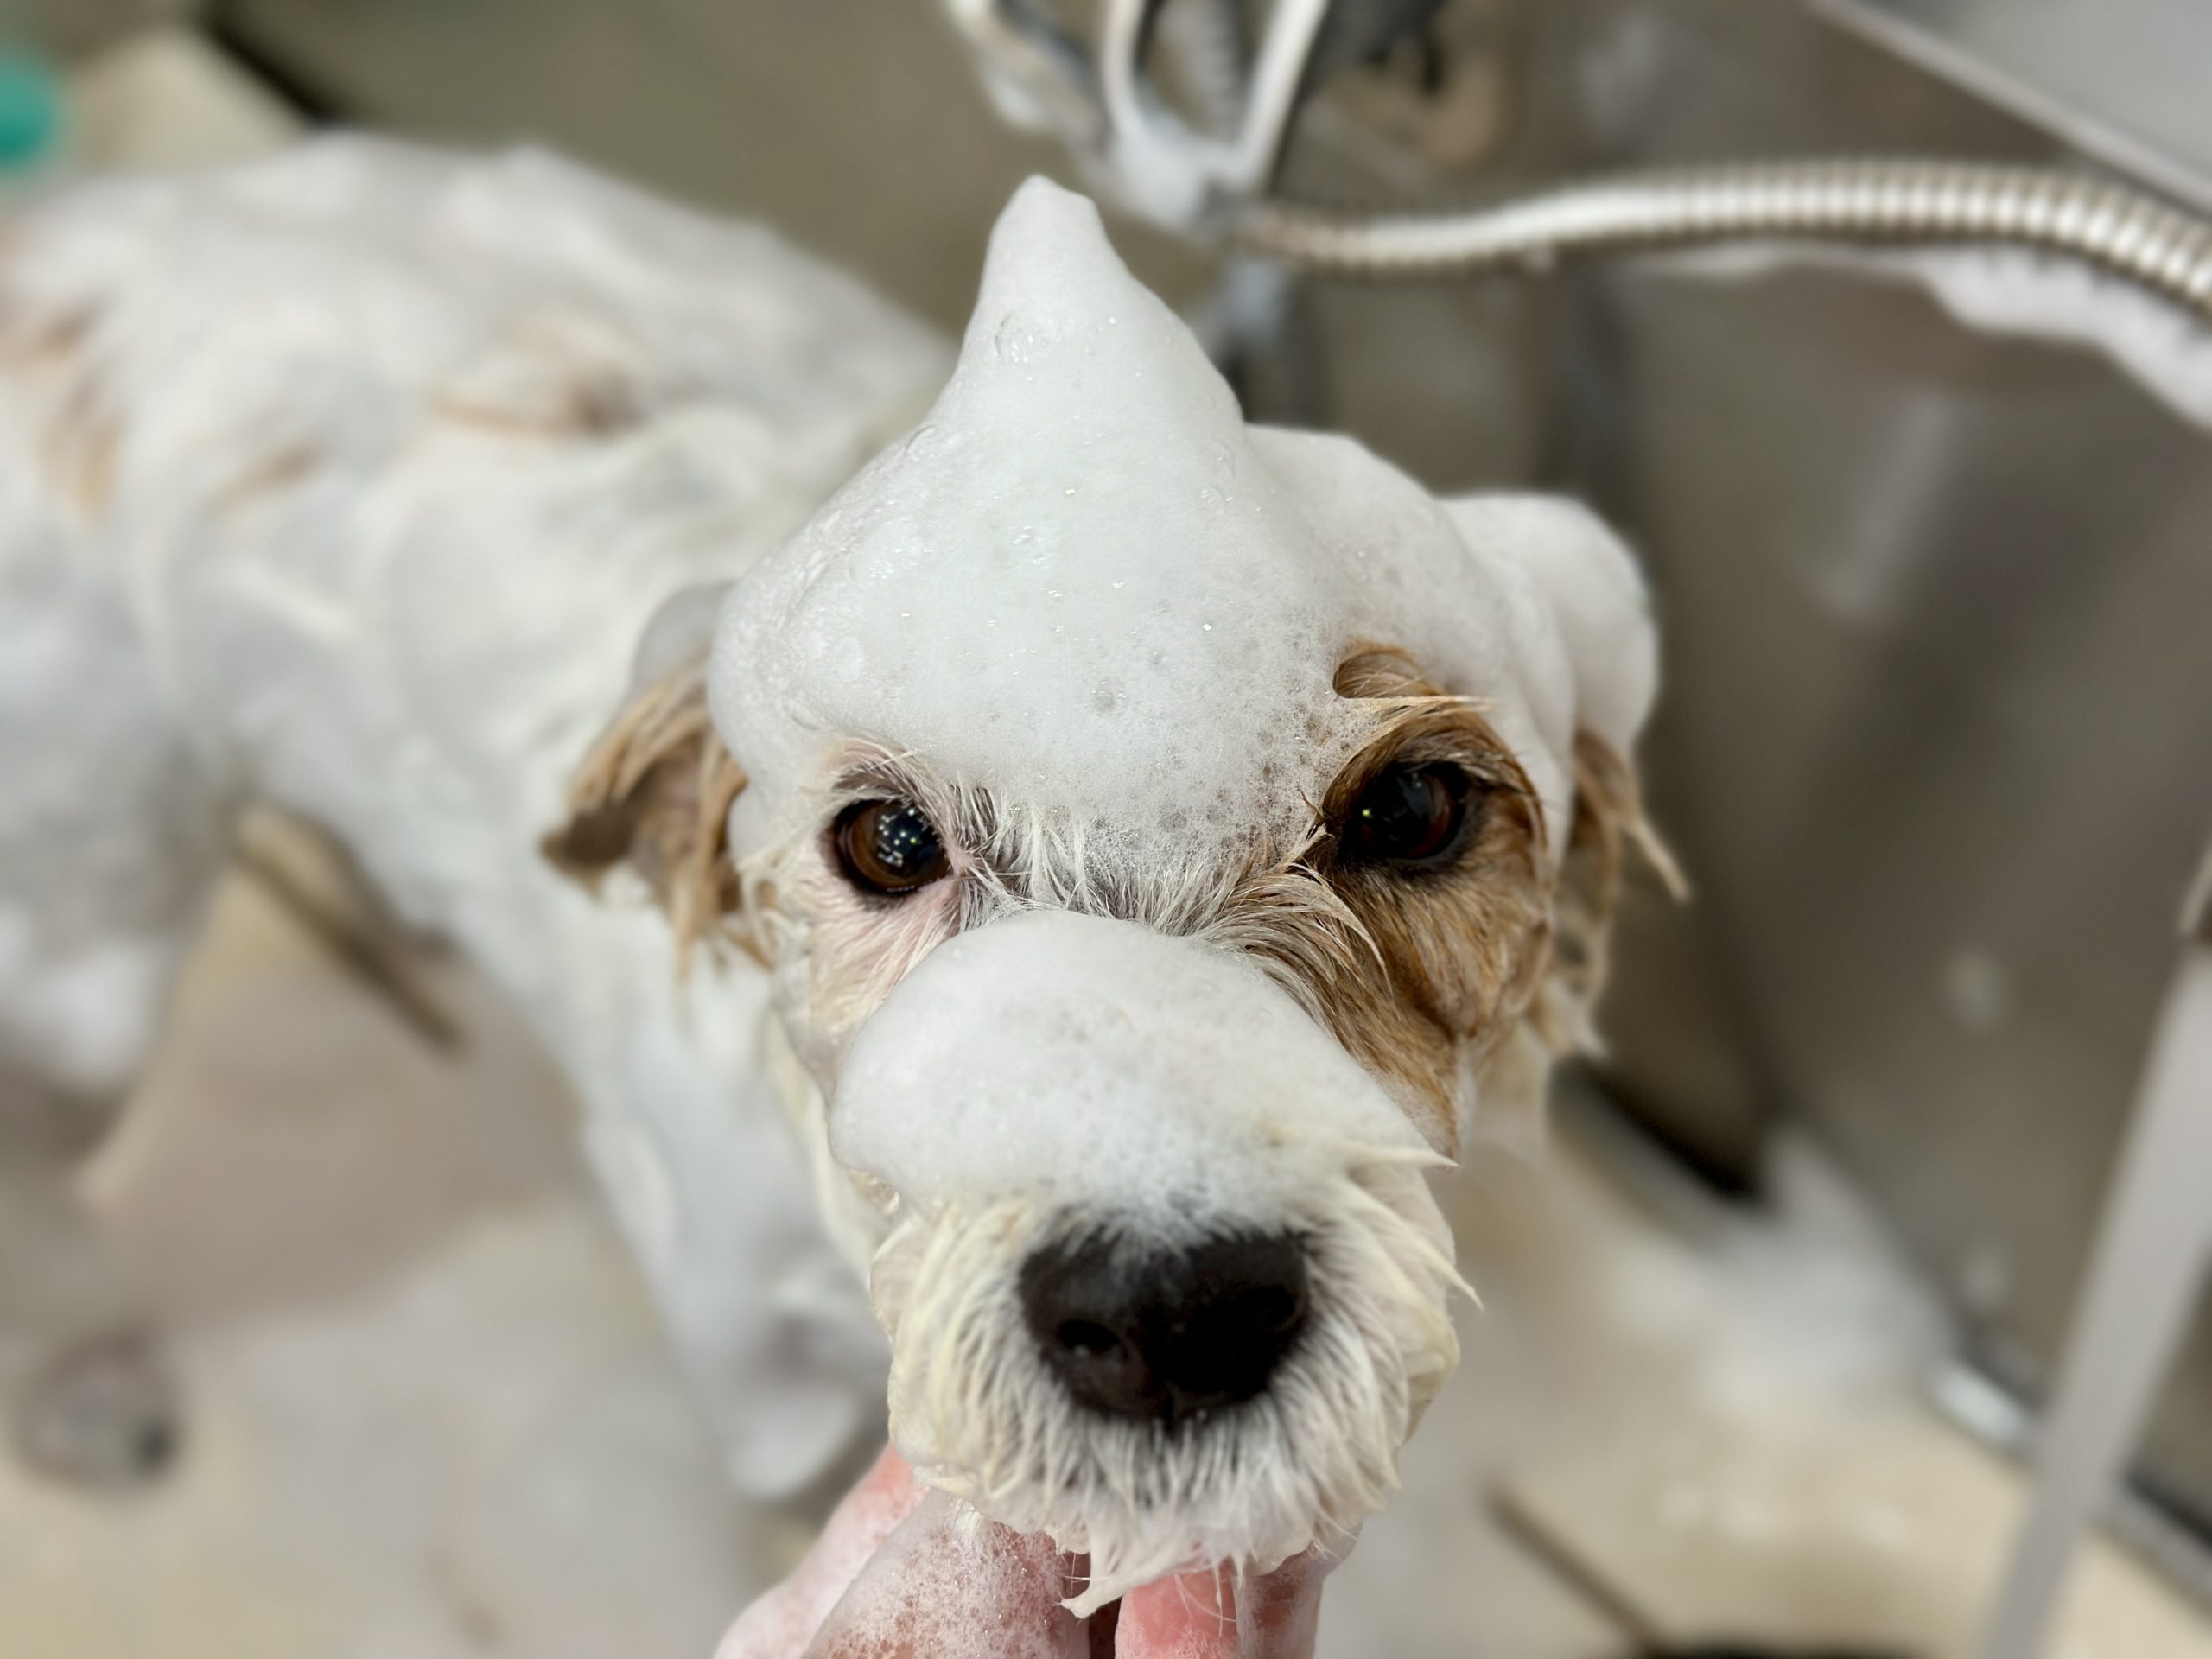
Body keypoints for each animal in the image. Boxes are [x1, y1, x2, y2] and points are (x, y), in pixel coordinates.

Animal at [0, 137, 1660, 1619]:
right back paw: (88, 1391)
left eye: (1414, 807)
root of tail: (65, 242)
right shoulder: (753, 1353)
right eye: (890, 841)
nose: (1169, 1311)